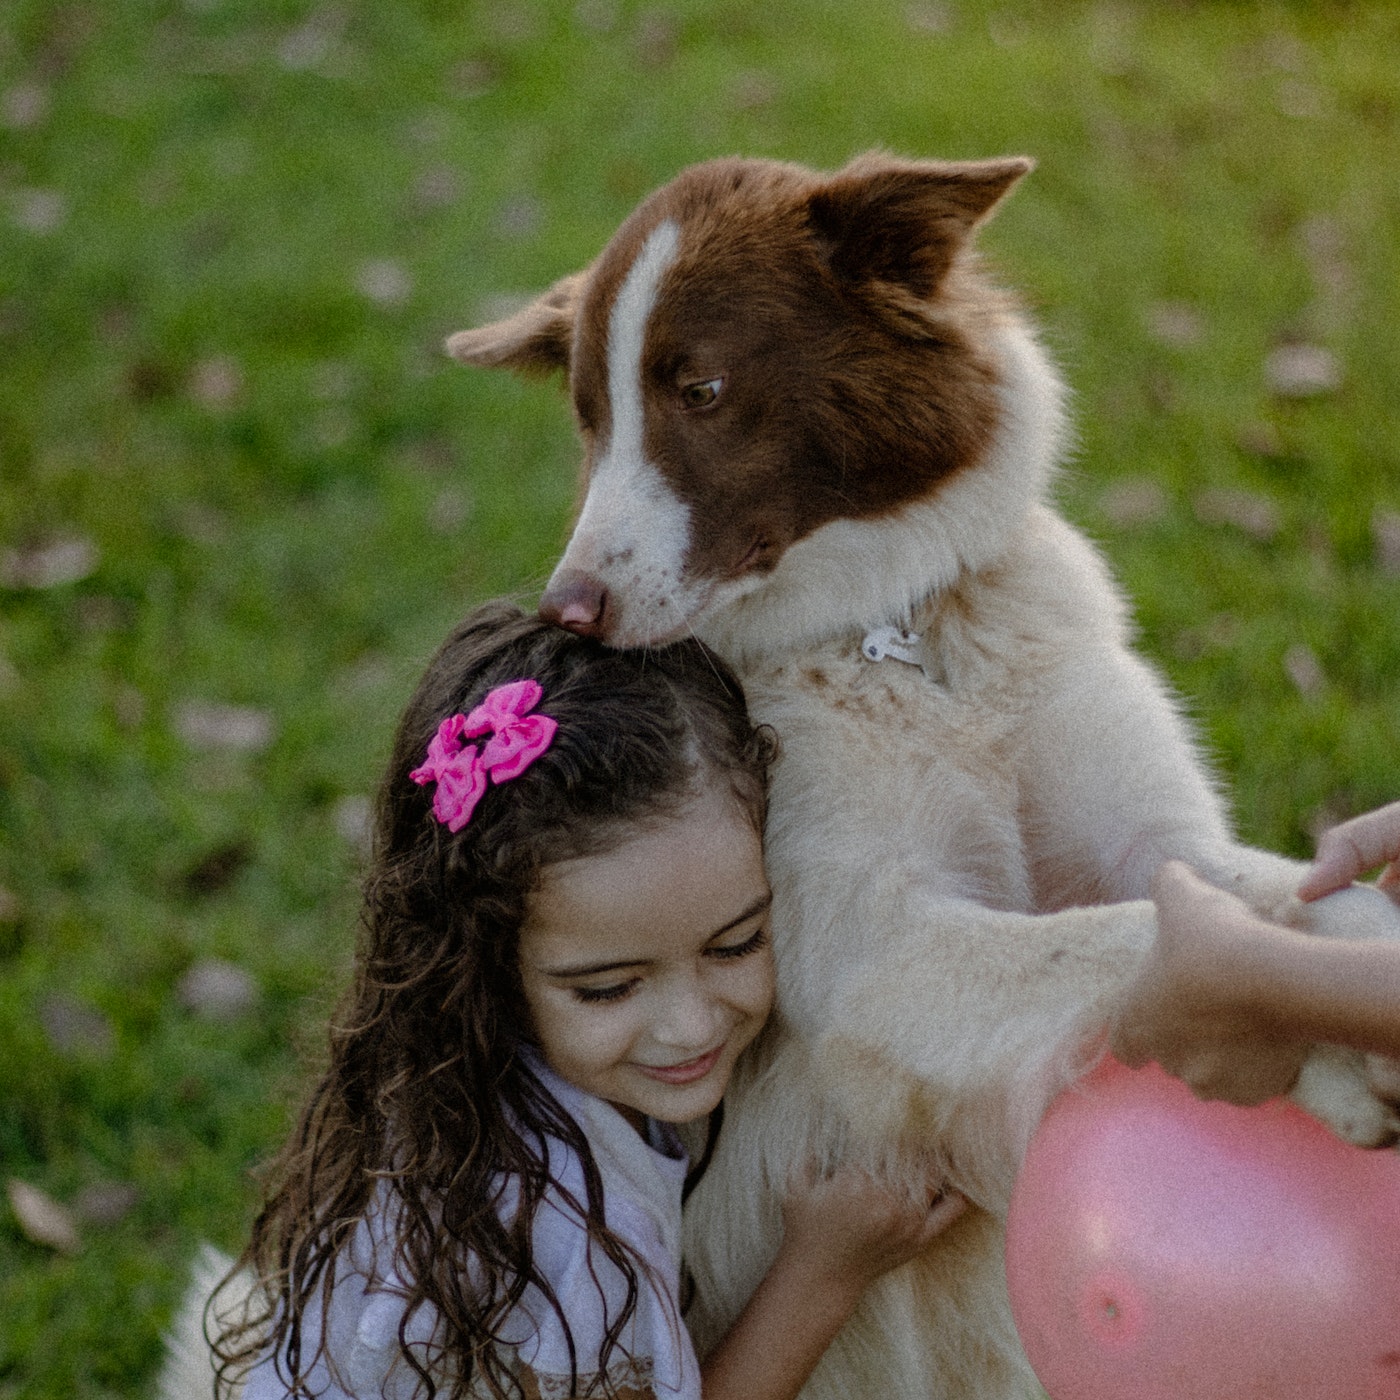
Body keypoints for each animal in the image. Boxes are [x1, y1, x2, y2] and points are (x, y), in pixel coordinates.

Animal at [450, 156, 1400, 1400]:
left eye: (700, 388)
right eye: (589, 419)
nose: (566, 613)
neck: (903, 634)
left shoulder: (1153, 834)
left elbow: (1290, 894)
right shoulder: (872, 955)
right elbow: (1127, 931)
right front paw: (1316, 1051)